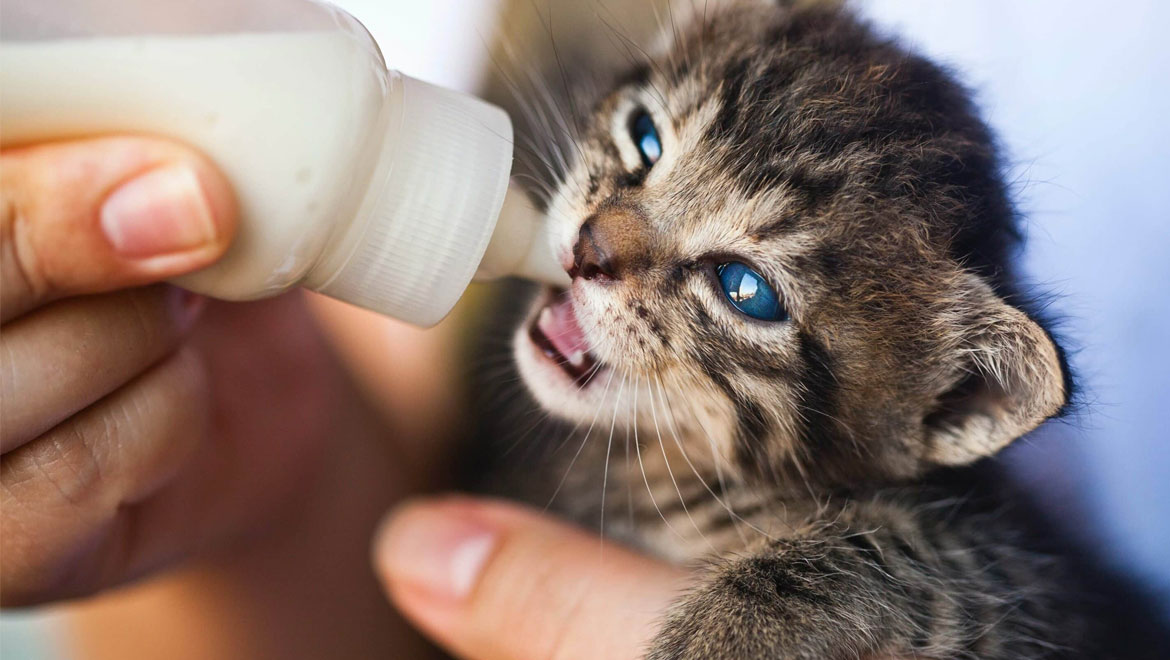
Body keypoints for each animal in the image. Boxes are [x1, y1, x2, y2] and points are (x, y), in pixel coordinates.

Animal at [465, 0, 1170, 655]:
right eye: (645, 138)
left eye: (745, 290)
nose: (590, 248)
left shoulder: (1015, 588)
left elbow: (884, 551)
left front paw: (711, 636)